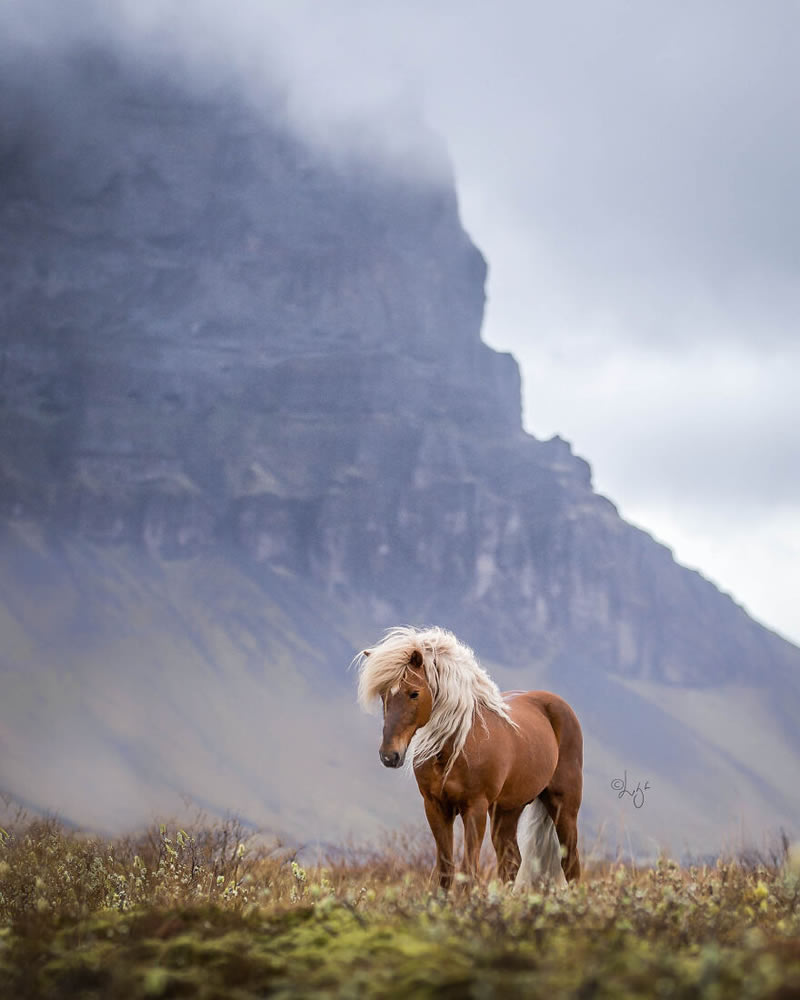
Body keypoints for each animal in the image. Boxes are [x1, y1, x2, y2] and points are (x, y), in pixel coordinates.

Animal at [356, 624, 580, 892]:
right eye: (383, 695)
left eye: (414, 693)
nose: (390, 755)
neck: (454, 749)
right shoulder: (435, 807)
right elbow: (446, 869)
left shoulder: (475, 808)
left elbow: (468, 871)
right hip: (507, 810)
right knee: (511, 861)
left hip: (564, 807)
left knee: (571, 863)